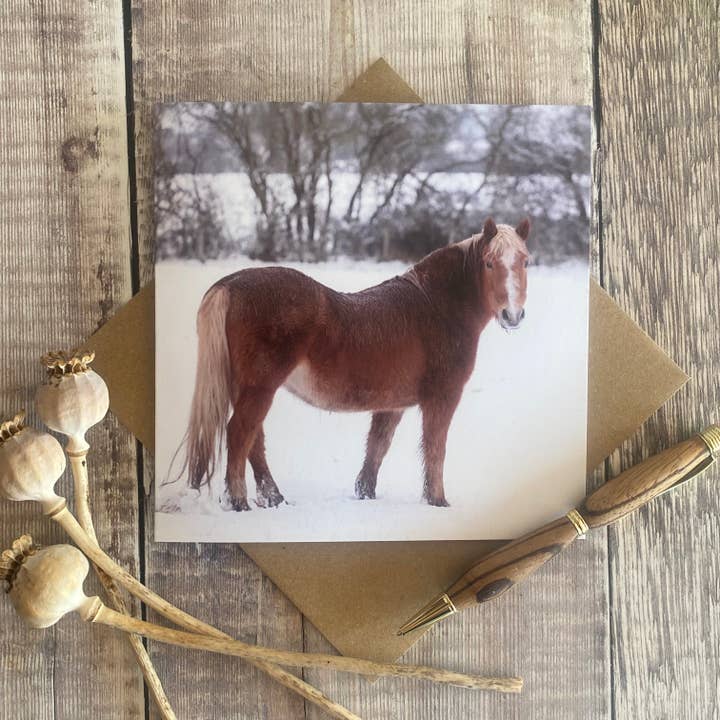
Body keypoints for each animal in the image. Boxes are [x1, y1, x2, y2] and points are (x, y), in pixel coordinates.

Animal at [178, 216, 531, 511]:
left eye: (525, 261)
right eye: (489, 263)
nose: (512, 316)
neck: (435, 307)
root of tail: (230, 285)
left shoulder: (392, 405)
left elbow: (377, 449)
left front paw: (365, 495)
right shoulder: (441, 398)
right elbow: (435, 449)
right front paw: (437, 501)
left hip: (248, 388)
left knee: (255, 440)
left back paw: (274, 499)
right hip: (259, 387)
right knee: (240, 434)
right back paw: (239, 502)